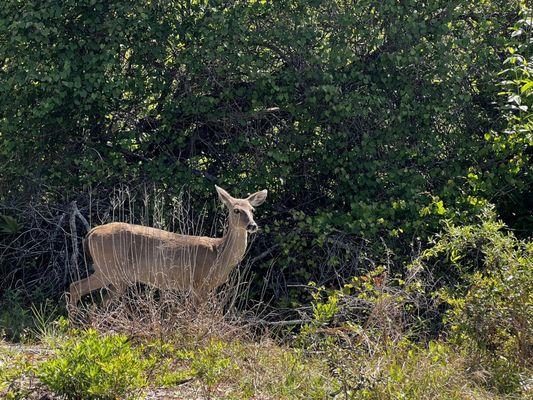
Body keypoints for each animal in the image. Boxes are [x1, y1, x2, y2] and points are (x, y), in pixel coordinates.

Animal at [67, 185, 266, 306]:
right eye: (236, 210)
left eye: (252, 210)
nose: (252, 225)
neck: (219, 253)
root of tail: (91, 233)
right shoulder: (199, 283)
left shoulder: (207, 288)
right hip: (108, 267)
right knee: (75, 287)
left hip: (118, 276)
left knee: (100, 301)